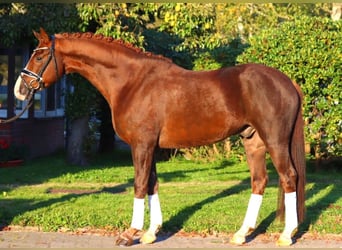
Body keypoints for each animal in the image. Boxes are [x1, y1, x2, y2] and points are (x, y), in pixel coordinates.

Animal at [14, 28, 306, 247]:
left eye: (39, 57)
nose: (20, 90)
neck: (132, 81)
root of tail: (287, 81)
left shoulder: (141, 145)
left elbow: (139, 184)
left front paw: (130, 233)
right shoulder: (150, 146)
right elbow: (152, 184)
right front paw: (150, 232)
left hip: (274, 141)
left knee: (289, 177)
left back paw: (285, 235)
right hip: (253, 141)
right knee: (259, 181)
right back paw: (242, 234)